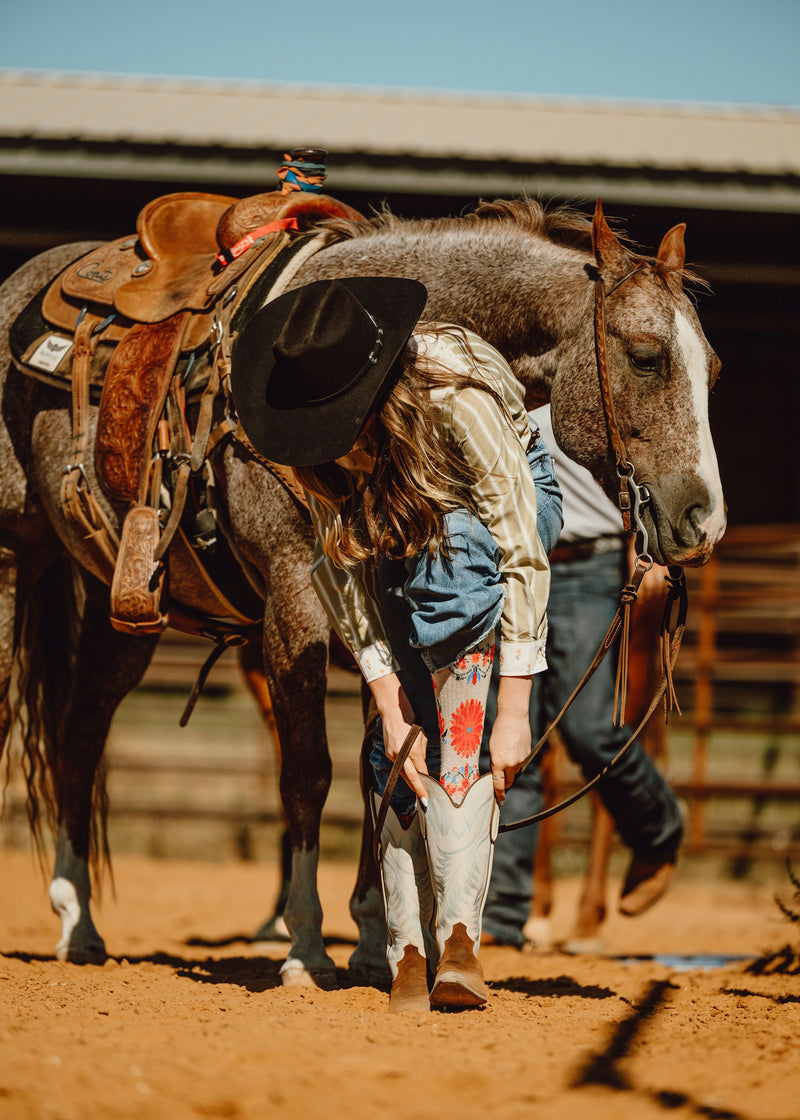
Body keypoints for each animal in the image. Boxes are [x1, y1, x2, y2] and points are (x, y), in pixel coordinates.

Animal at [0, 201, 721, 990]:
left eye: (712, 367)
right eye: (646, 355)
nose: (703, 520)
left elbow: (391, 764)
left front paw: (377, 944)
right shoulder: (295, 607)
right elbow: (309, 774)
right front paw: (306, 946)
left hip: (124, 608)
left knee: (80, 732)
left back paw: (79, 922)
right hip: (15, 553)